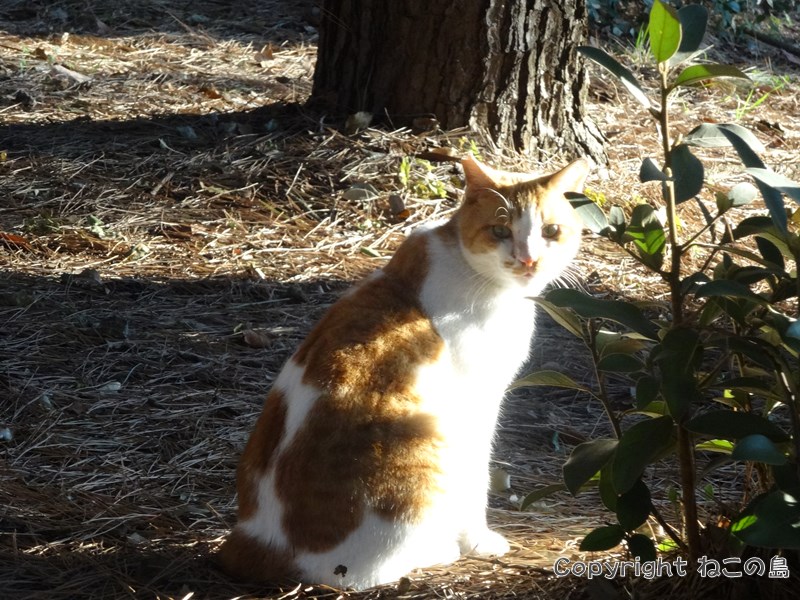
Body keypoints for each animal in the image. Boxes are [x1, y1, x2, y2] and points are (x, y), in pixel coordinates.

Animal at [219, 155, 588, 592]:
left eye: (551, 231)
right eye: (500, 230)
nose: (529, 260)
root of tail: (254, 542)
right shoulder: (477, 403)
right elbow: (476, 479)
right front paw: (478, 540)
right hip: (424, 446)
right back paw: (439, 549)